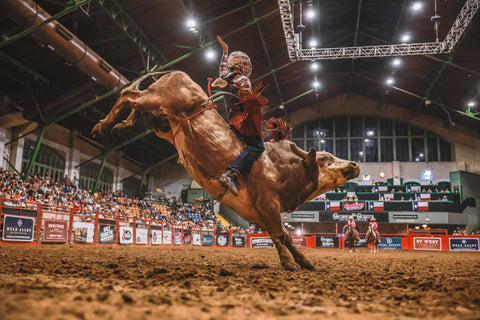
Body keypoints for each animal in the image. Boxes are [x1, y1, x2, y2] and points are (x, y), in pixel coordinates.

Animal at [92, 70, 358, 270]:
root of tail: (175, 73)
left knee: (135, 106)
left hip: (161, 120)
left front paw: (303, 261)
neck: (282, 168)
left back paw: (120, 127)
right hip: (156, 99)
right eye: (325, 158)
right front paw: (289, 263)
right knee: (128, 95)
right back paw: (101, 126)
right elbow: (280, 235)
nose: (354, 165)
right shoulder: (268, 205)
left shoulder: (261, 214)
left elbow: (285, 235)